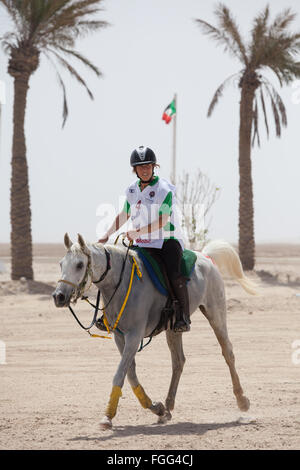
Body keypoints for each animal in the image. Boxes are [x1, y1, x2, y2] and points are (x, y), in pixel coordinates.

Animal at [52, 233, 258, 432]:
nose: (58, 296)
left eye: (79, 264)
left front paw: (107, 417)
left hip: (216, 313)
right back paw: (168, 407)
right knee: (178, 361)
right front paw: (156, 407)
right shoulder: (120, 336)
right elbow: (130, 374)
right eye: (61, 263)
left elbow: (120, 374)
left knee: (228, 352)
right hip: (174, 328)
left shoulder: (134, 336)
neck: (121, 282)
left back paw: (242, 401)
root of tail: (206, 257)